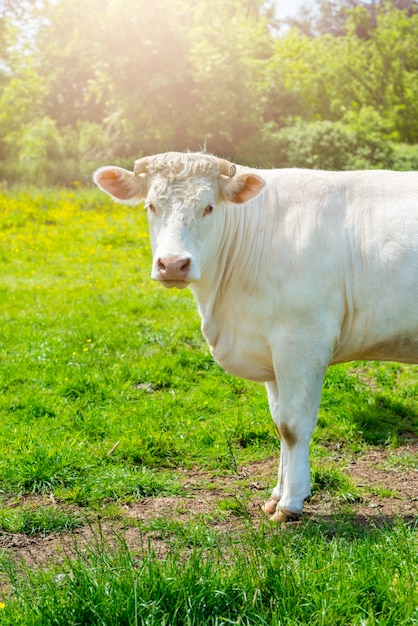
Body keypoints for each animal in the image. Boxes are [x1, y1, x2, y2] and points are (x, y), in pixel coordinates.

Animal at [94, 150, 418, 516]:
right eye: (151, 205)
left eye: (209, 207)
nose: (173, 264)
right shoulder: (271, 349)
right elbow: (278, 423)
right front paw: (277, 495)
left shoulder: (302, 341)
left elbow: (293, 426)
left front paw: (291, 502)